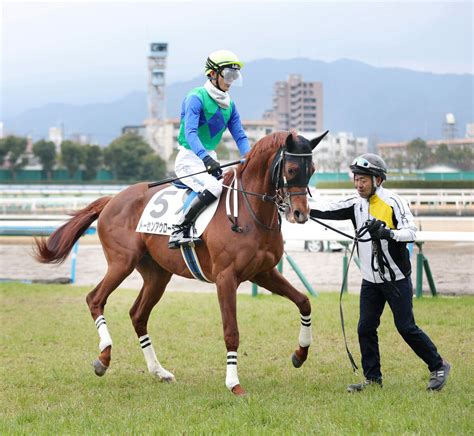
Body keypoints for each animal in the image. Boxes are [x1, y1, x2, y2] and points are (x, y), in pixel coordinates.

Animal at [36, 129, 326, 396]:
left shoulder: (263, 272)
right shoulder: (226, 278)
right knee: (95, 299)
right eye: (291, 169)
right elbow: (231, 331)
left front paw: (300, 354)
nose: (300, 213)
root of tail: (112, 199)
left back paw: (159, 371)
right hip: (121, 263)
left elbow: (304, 301)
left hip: (157, 275)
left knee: (138, 314)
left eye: (312, 169)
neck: (249, 211)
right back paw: (103, 358)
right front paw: (234, 384)